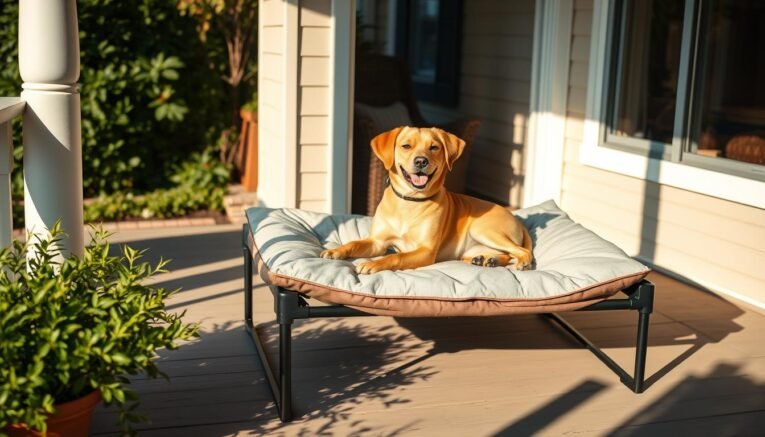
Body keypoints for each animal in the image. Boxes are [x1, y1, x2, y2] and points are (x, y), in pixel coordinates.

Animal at [320, 125, 532, 272]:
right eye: (406, 146)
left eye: (434, 147)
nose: (421, 161)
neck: (409, 201)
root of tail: (517, 220)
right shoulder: (377, 242)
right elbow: (354, 243)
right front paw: (335, 251)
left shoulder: (425, 251)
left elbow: (395, 257)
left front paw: (374, 264)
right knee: (507, 254)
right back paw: (487, 259)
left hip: (482, 229)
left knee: (521, 251)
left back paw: (522, 262)